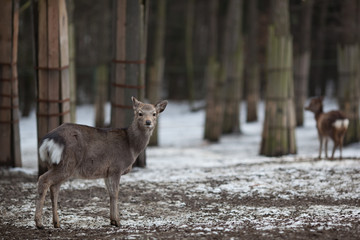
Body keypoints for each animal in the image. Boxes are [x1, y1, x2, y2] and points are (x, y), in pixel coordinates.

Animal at [35, 96, 167, 229]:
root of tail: (48, 141)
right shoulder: (116, 167)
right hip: (68, 163)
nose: (148, 122)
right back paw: (39, 223)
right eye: (140, 113)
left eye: (154, 113)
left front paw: (112, 220)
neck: (131, 146)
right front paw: (117, 221)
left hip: (56, 164)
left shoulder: (106, 172)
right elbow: (115, 193)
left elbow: (110, 193)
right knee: (43, 179)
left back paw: (56, 222)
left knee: (54, 188)